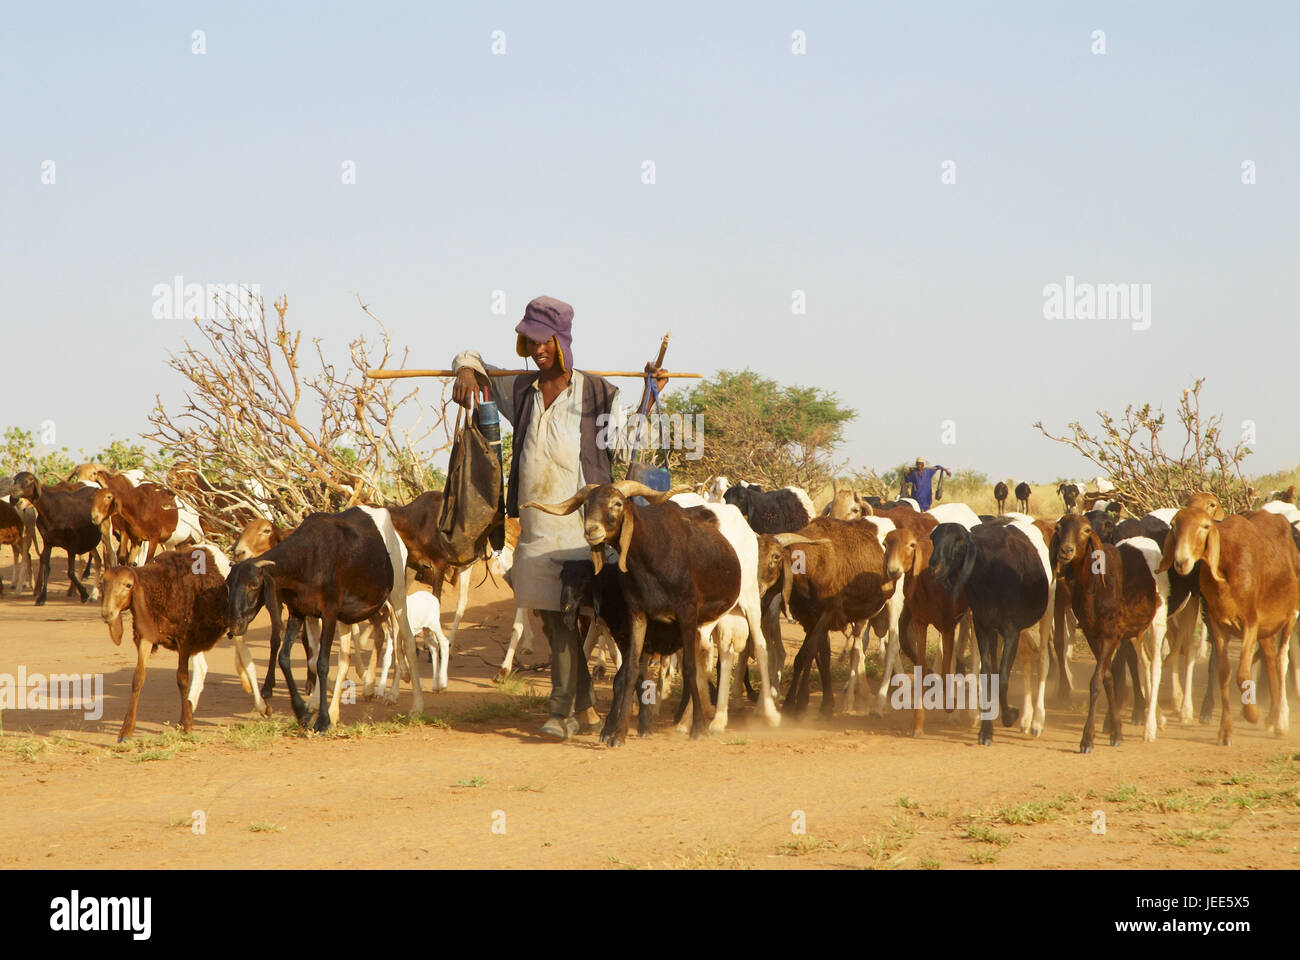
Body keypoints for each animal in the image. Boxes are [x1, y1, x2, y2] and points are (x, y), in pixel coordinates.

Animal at [226, 504, 418, 728]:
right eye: (228, 584)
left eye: (254, 585)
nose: (235, 625)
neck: (307, 558)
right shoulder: (299, 613)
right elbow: (287, 657)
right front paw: (303, 711)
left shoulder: (329, 614)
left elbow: (323, 663)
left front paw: (323, 720)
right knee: (352, 653)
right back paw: (361, 692)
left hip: (396, 596)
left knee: (403, 641)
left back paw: (409, 700)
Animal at [520, 478, 780, 738]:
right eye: (587, 504)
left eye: (617, 503)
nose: (591, 530)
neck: (654, 554)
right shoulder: (638, 616)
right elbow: (632, 670)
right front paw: (618, 731)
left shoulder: (686, 613)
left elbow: (688, 668)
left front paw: (696, 727)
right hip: (716, 618)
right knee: (718, 653)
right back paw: (708, 720)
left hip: (749, 599)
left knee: (759, 645)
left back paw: (767, 713)